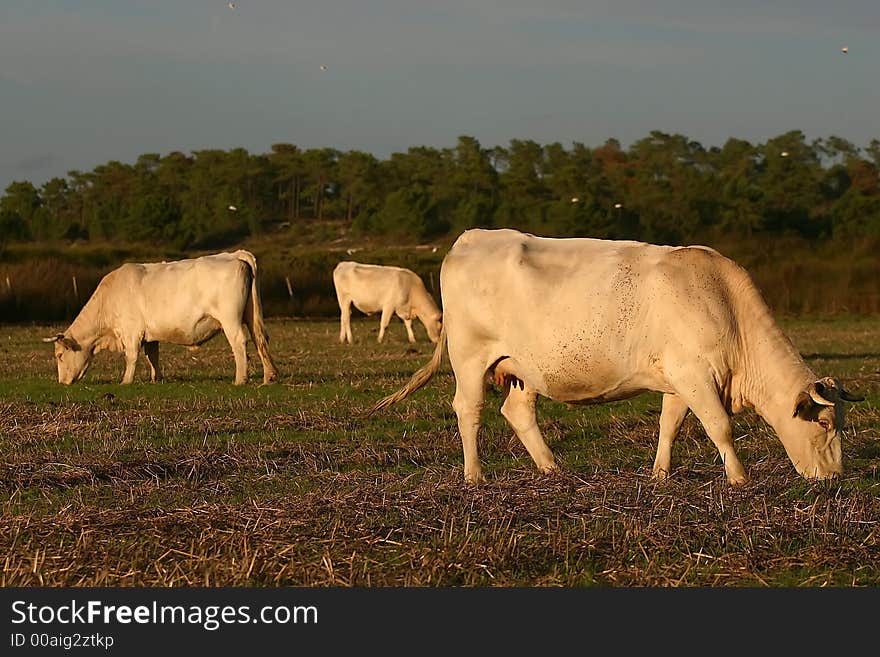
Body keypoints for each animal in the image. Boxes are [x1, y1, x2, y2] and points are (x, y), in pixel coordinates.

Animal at [43, 250, 278, 384]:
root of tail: (234, 254)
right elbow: (152, 356)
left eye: (60, 355)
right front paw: (156, 379)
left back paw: (240, 380)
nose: (62, 383)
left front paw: (126, 381)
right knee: (260, 339)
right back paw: (269, 376)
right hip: (251, 315)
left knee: (239, 343)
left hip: (230, 319)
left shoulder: (131, 332)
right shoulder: (149, 335)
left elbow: (132, 357)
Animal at [370, 228, 860, 484]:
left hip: (524, 367)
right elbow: (720, 426)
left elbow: (670, 425)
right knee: (468, 410)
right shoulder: (695, 374)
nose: (835, 477)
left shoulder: (679, 379)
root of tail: (472, 237)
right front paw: (738, 478)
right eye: (822, 423)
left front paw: (660, 474)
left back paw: (551, 468)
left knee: (517, 411)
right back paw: (475, 475)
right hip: (472, 357)